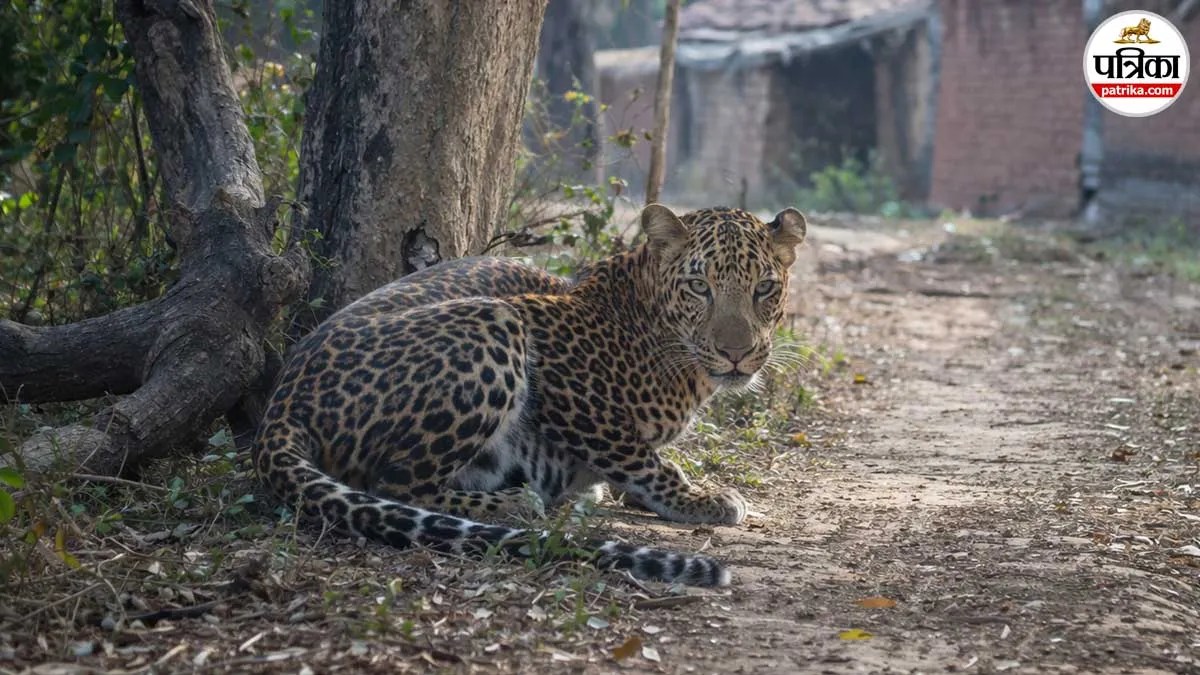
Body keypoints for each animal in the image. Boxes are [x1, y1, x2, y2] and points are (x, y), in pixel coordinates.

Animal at [253, 203, 807, 587]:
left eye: (764, 288)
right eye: (699, 287)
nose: (736, 353)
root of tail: (281, 403)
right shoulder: (564, 370)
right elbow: (641, 458)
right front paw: (700, 497)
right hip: (494, 320)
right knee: (396, 482)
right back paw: (517, 503)